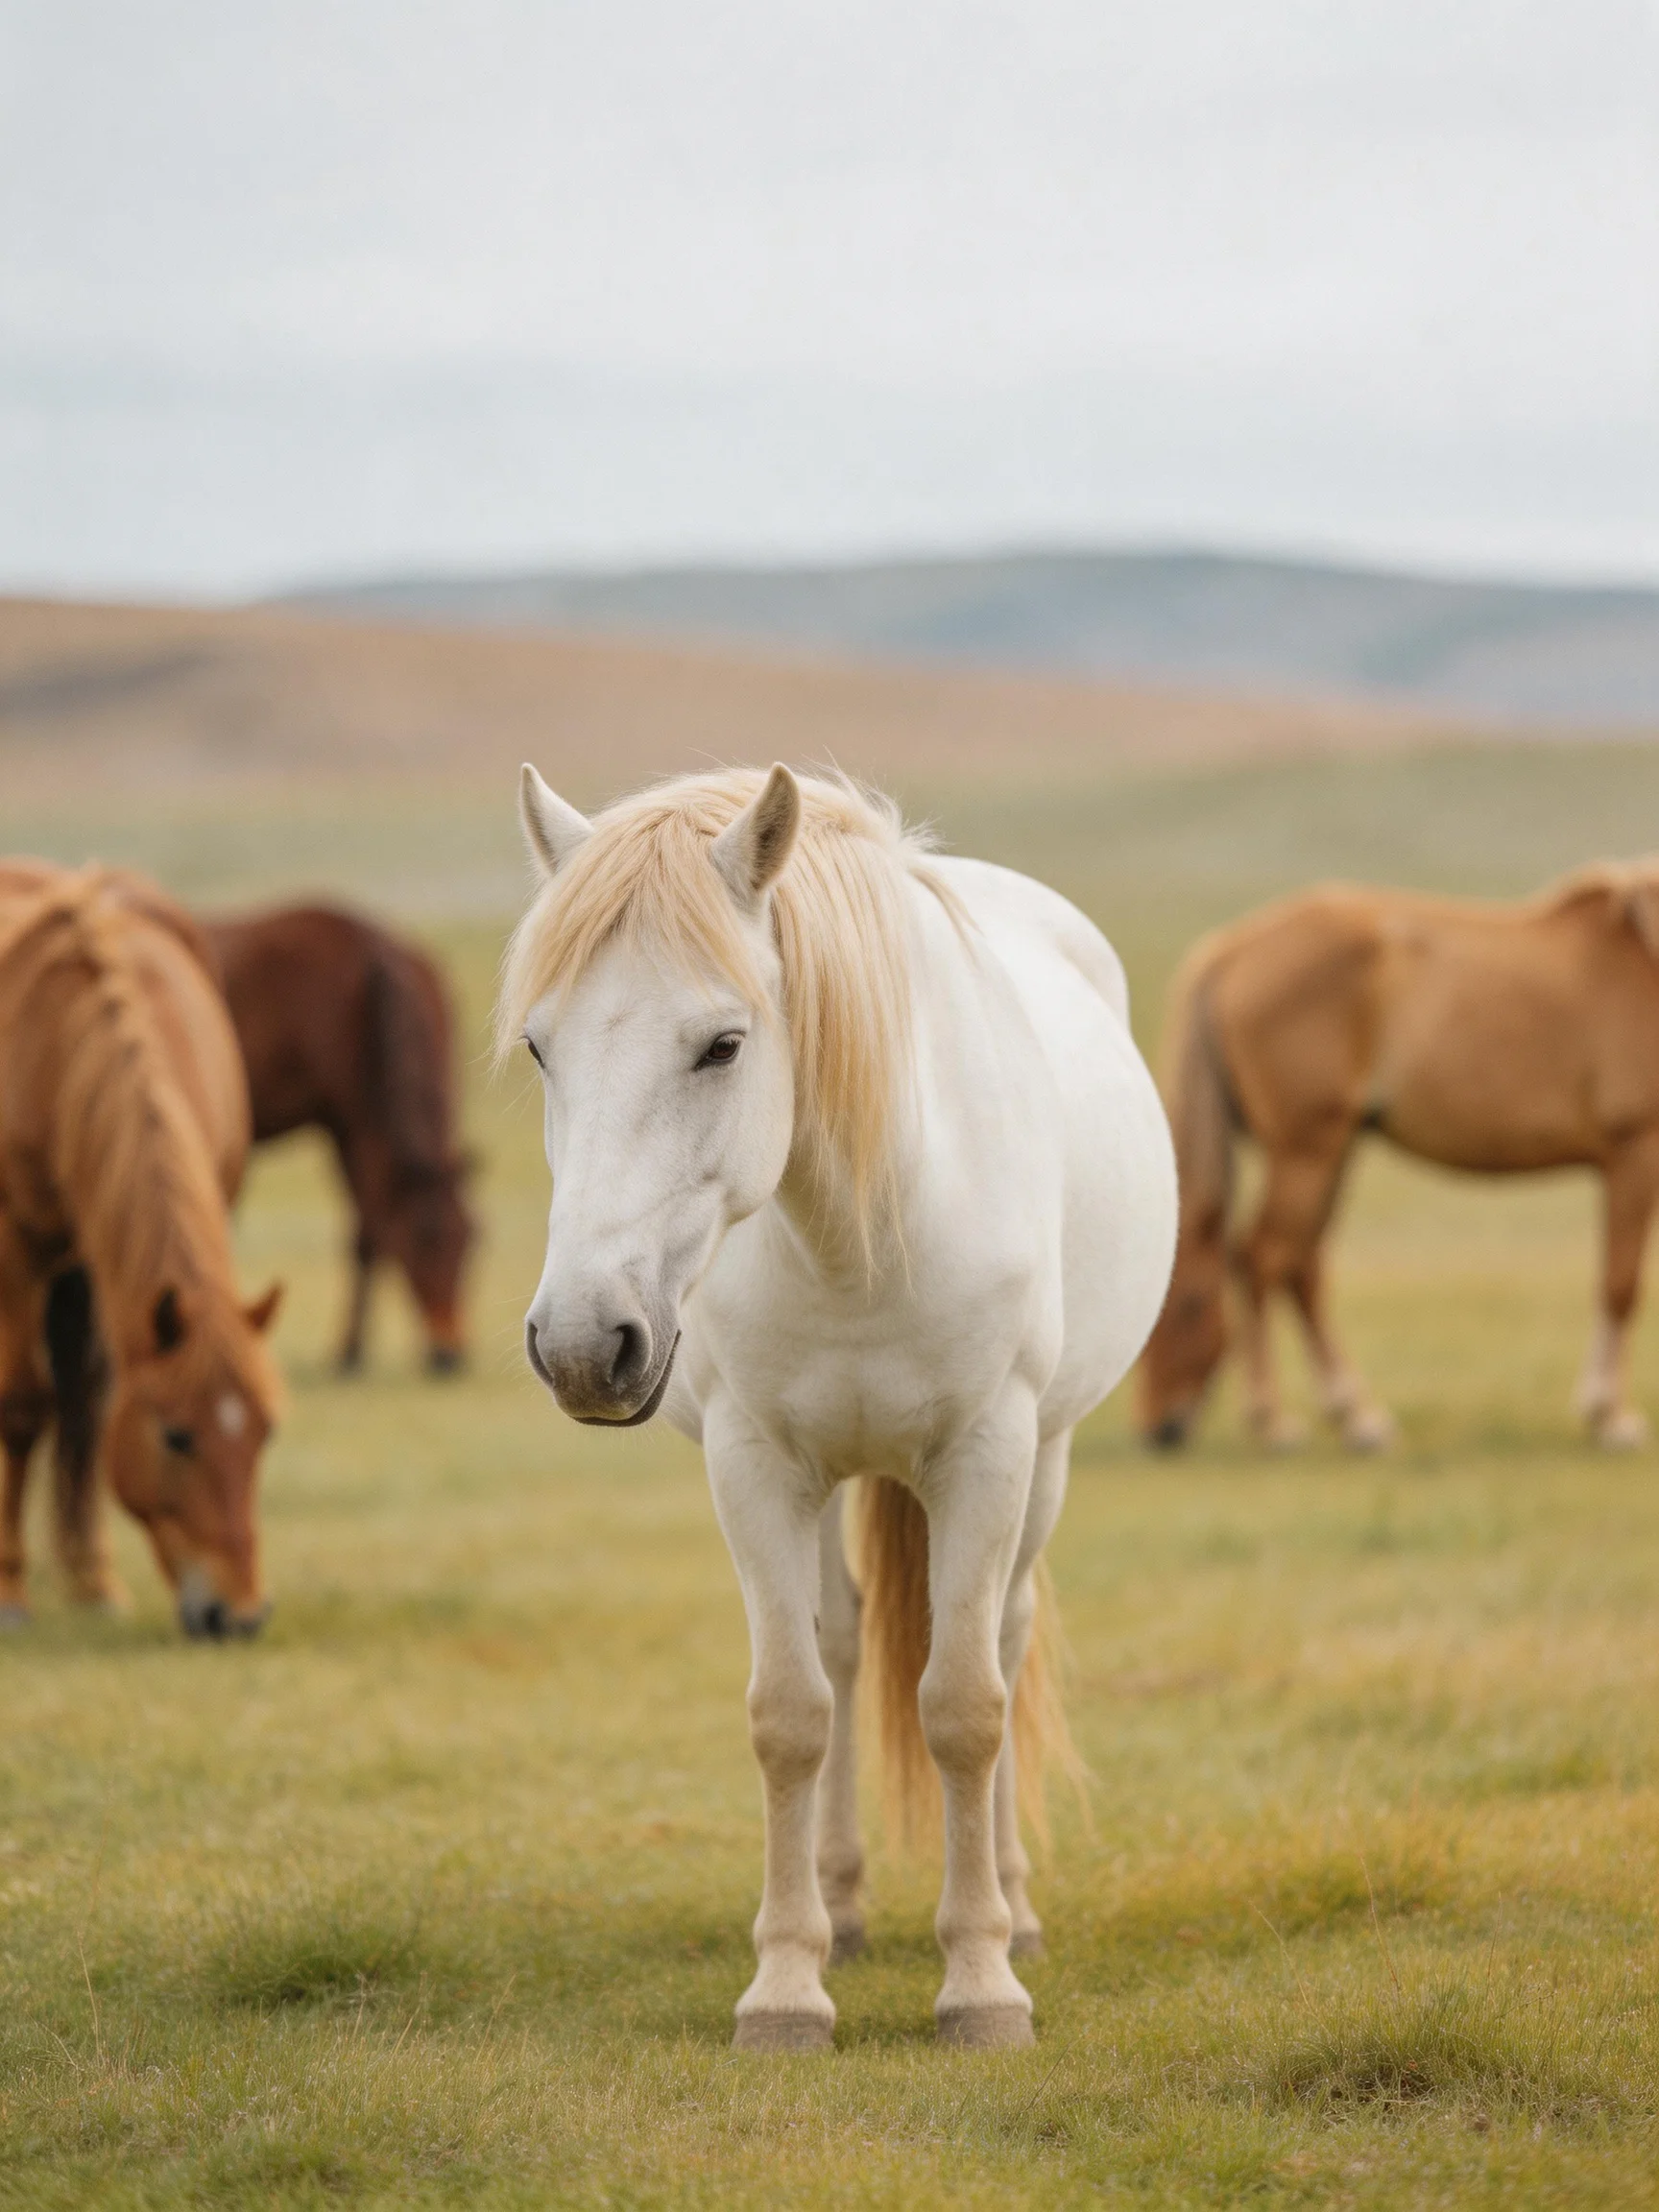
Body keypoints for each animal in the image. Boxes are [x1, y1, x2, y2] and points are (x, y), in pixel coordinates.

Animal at [0, 861, 282, 1637]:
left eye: (266, 1433)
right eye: (178, 1437)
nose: (237, 1617)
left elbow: (94, 1407)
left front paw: (98, 1584)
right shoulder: (17, 1249)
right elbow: (21, 1407)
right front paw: (10, 1591)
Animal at [204, 905, 474, 1375]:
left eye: (474, 1241)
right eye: (423, 1239)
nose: (450, 1355)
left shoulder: (352, 1130)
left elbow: (367, 1236)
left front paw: (352, 1349)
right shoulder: (351, 1128)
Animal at [499, 764, 1176, 2050]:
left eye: (722, 1045)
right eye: (541, 1048)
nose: (582, 1346)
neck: (862, 1229)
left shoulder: (988, 1454)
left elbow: (965, 1705)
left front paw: (980, 1983)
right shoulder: (755, 1466)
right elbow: (791, 1712)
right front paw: (786, 1986)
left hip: (1045, 1462)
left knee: (1002, 1640)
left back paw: (1014, 1907)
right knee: (845, 1646)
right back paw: (845, 1906)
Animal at [1140, 863, 1659, 1453]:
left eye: (1186, 1307)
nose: (1159, 1430)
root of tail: (1234, 947)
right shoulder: (1636, 1151)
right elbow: (1621, 1285)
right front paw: (1611, 1417)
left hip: (1333, 1151)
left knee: (1301, 1265)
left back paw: (1357, 1418)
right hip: (1307, 1151)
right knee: (1263, 1258)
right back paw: (1276, 1420)